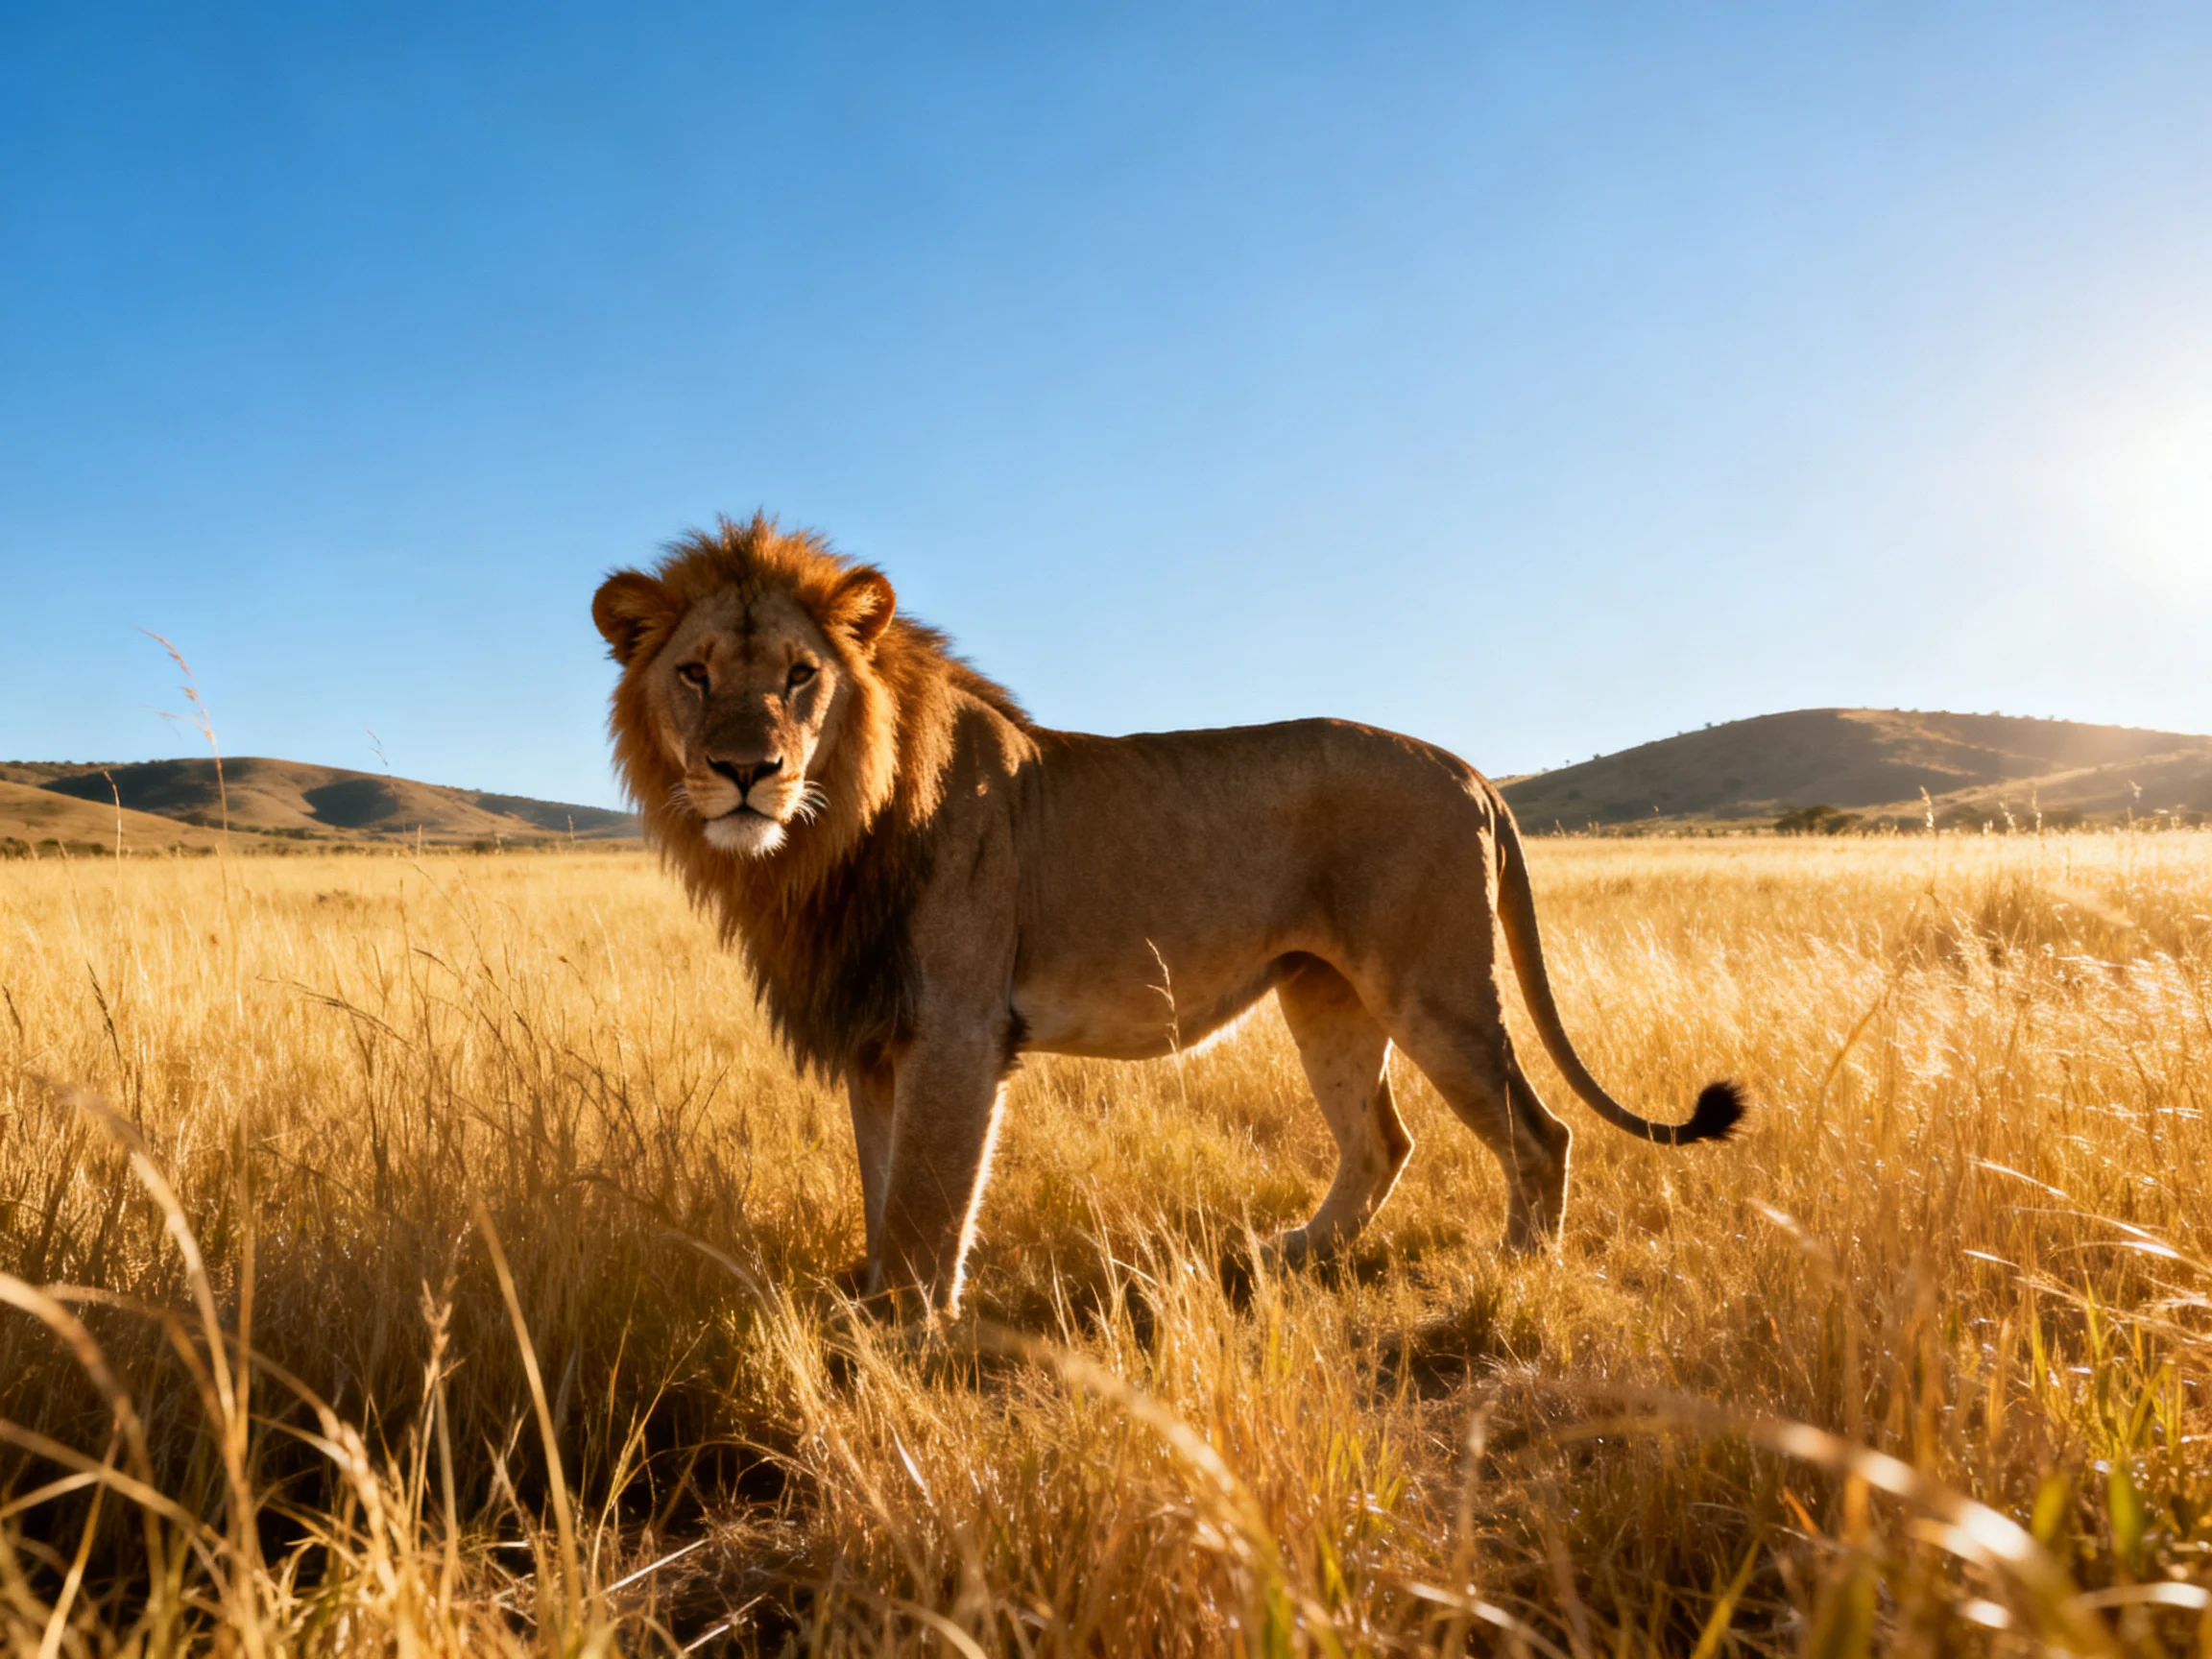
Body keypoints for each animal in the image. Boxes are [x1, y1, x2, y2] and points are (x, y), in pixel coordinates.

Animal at [594, 515, 1744, 1313]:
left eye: (801, 677)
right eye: (693, 674)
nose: (747, 771)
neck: (820, 843)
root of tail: (1471, 770)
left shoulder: (956, 1028)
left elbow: (926, 1207)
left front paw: (899, 1343)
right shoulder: (878, 1034)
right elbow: (884, 1197)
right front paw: (874, 1308)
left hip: (1434, 987)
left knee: (1540, 1133)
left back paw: (1513, 1277)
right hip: (1326, 996)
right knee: (1381, 1140)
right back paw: (1294, 1256)